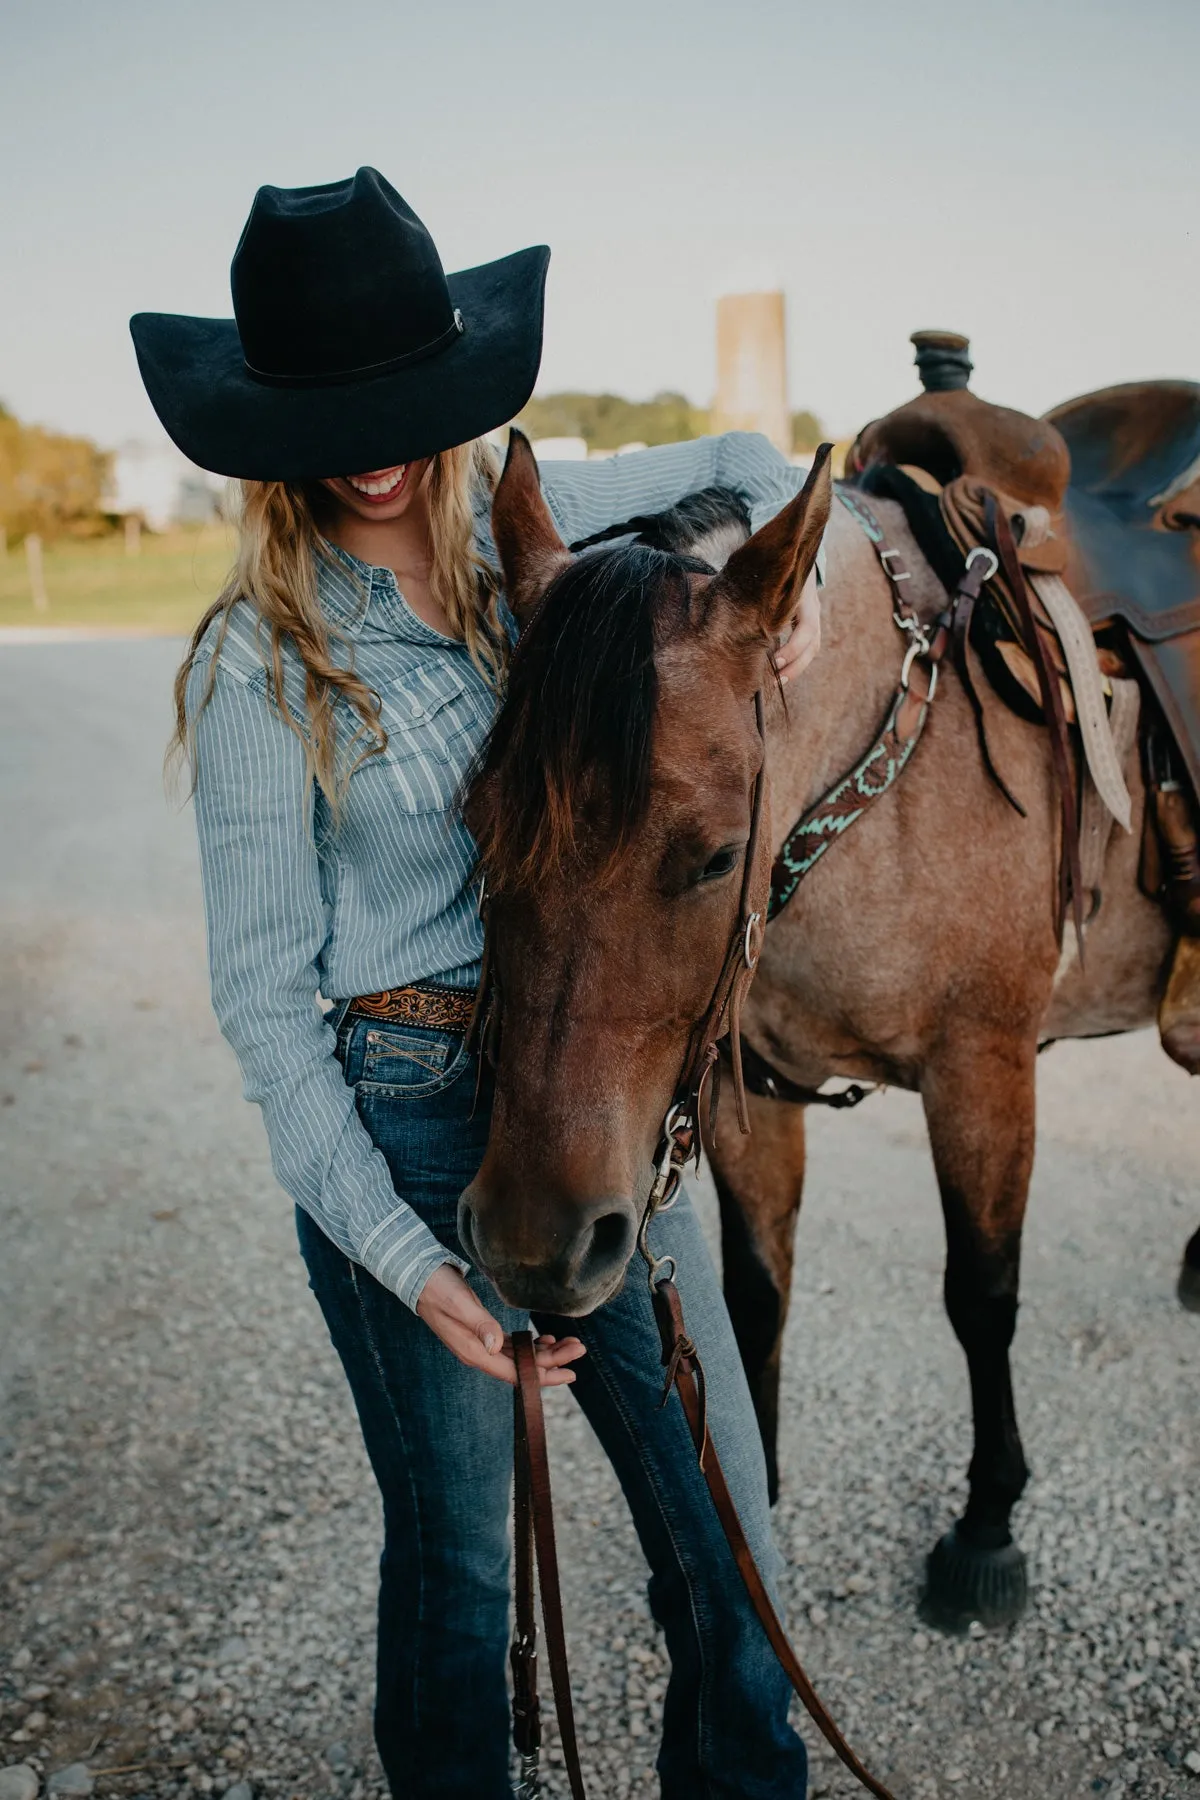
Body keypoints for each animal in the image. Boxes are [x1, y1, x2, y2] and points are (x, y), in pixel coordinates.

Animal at [456, 432, 1194, 1634]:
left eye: (715, 855)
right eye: (475, 825)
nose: (533, 1243)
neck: (884, 791)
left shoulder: (983, 1069)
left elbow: (982, 1296)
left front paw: (986, 1527)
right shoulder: (745, 1092)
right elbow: (759, 1296)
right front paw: (756, 1502)